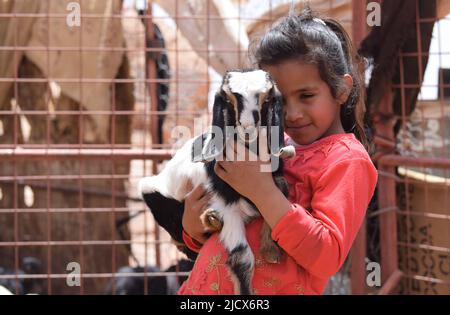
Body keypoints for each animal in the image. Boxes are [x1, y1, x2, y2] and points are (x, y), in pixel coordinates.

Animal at [141, 69, 296, 296]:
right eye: (229, 99)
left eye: (266, 98)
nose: (248, 127)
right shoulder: (228, 207)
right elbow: (242, 258)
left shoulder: (274, 181)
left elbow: (282, 195)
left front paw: (271, 251)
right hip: (154, 193)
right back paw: (211, 220)